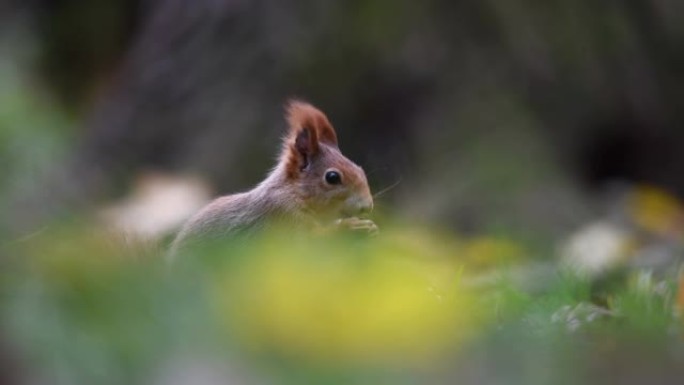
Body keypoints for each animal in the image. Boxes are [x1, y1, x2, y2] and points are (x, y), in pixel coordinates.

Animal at [169, 100, 376, 255]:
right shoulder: (284, 217)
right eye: (332, 177)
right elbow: (312, 240)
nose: (367, 207)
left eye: (360, 169)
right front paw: (351, 227)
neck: (294, 193)